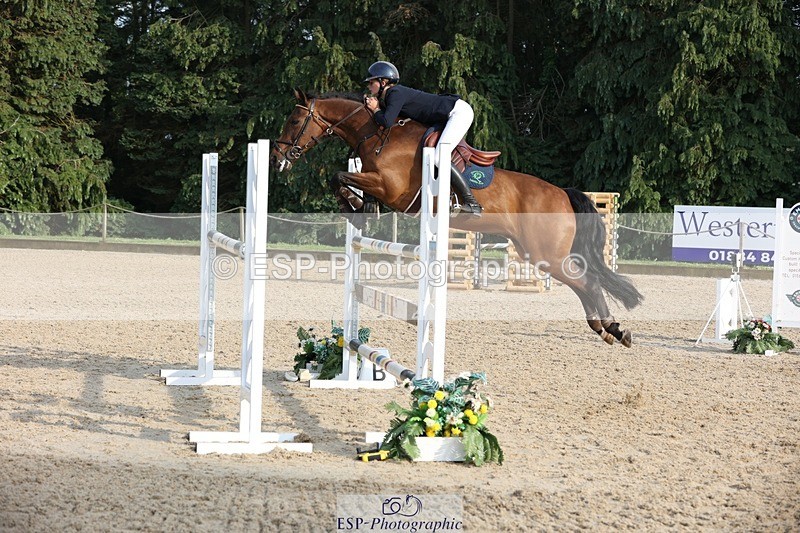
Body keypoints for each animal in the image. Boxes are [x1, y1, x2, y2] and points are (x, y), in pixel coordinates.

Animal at [270, 89, 643, 346]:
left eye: (293, 120)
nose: (278, 158)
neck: (377, 134)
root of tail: (562, 194)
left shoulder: (390, 188)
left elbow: (338, 176)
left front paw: (353, 206)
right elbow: (344, 180)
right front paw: (358, 209)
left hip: (546, 253)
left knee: (588, 282)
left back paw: (612, 327)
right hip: (535, 253)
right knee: (583, 282)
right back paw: (605, 328)